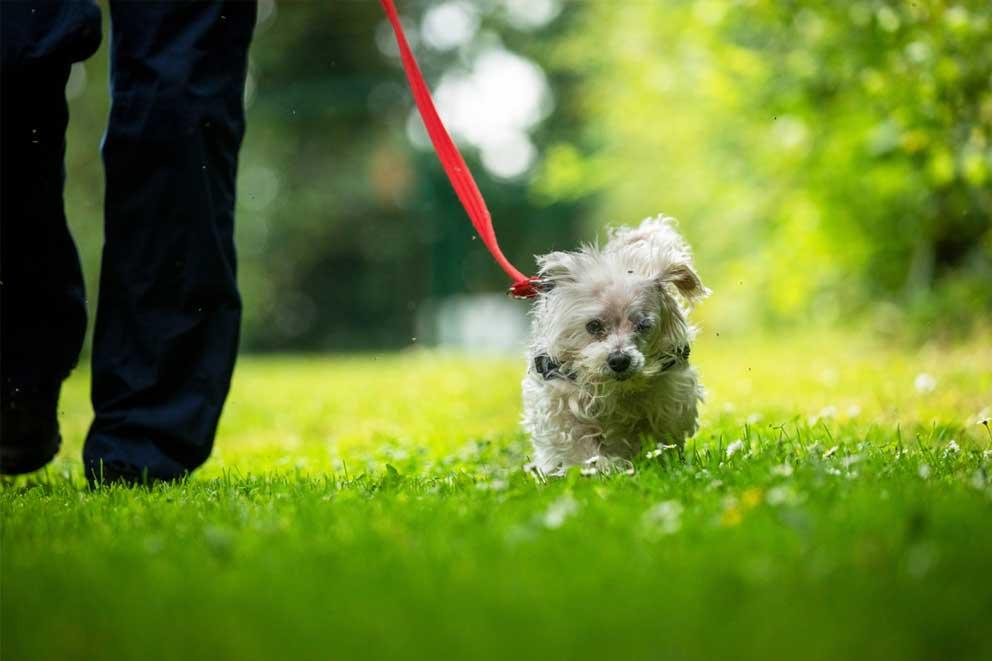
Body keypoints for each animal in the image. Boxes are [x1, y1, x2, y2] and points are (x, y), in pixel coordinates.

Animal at [524, 217, 708, 474]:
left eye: (643, 324)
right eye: (593, 325)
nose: (619, 360)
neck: (617, 389)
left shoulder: (669, 397)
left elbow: (662, 432)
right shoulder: (562, 401)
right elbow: (578, 441)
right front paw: (599, 468)